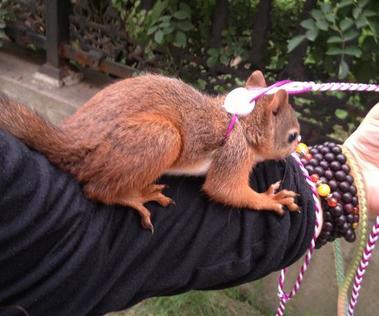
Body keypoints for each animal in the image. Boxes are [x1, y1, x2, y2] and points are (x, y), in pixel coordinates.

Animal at [0, 70, 302, 231]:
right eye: (292, 136)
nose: (297, 148)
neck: (240, 121)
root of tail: (71, 139)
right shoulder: (234, 152)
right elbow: (224, 188)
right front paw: (270, 199)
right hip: (161, 138)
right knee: (97, 190)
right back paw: (135, 197)